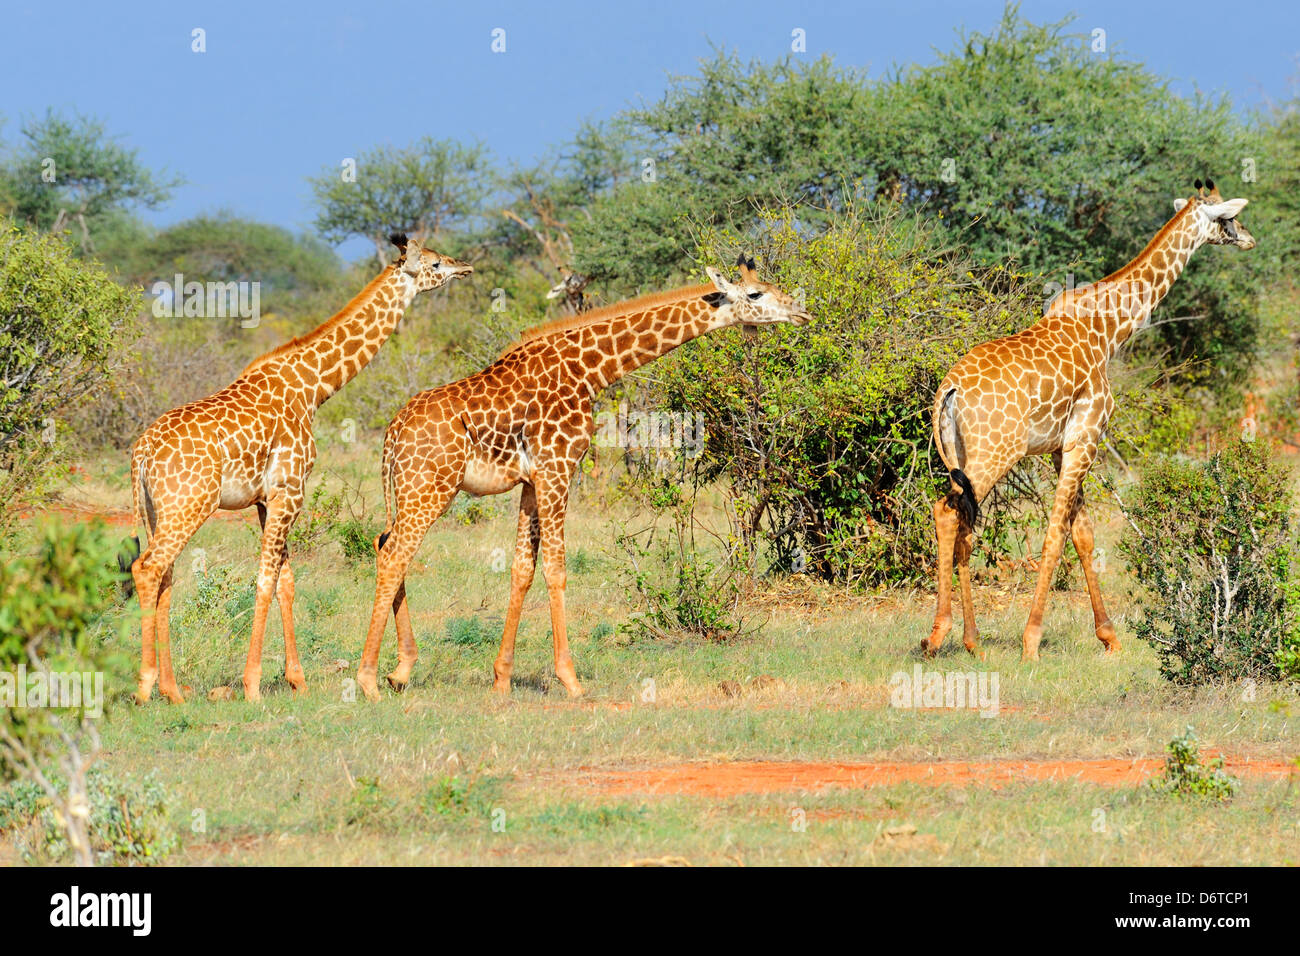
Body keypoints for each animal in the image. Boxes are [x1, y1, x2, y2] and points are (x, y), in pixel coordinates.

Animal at [125, 234, 473, 702]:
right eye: (435, 263)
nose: (464, 266)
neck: (313, 386)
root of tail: (141, 453)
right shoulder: (290, 490)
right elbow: (265, 579)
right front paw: (253, 685)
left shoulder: (266, 499)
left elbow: (285, 580)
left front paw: (297, 679)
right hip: (189, 505)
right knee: (147, 569)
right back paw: (146, 687)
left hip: (156, 509)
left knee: (164, 575)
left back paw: (173, 690)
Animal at [353, 257, 800, 697]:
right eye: (756, 294)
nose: (801, 310)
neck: (589, 369)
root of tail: (393, 431)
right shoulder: (558, 467)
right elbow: (556, 568)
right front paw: (570, 680)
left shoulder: (532, 480)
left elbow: (522, 570)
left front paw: (501, 679)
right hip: (431, 486)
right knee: (395, 554)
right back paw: (370, 679)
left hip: (413, 487)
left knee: (385, 544)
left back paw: (399, 671)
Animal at [930, 178, 1253, 658]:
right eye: (1228, 218)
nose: (1249, 239)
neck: (1109, 329)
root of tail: (947, 392)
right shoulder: (1087, 437)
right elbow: (1056, 532)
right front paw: (1032, 642)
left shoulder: (1061, 447)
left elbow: (1082, 533)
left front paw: (1109, 637)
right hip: (995, 453)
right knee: (949, 513)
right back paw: (938, 635)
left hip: (964, 457)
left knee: (962, 521)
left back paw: (972, 642)